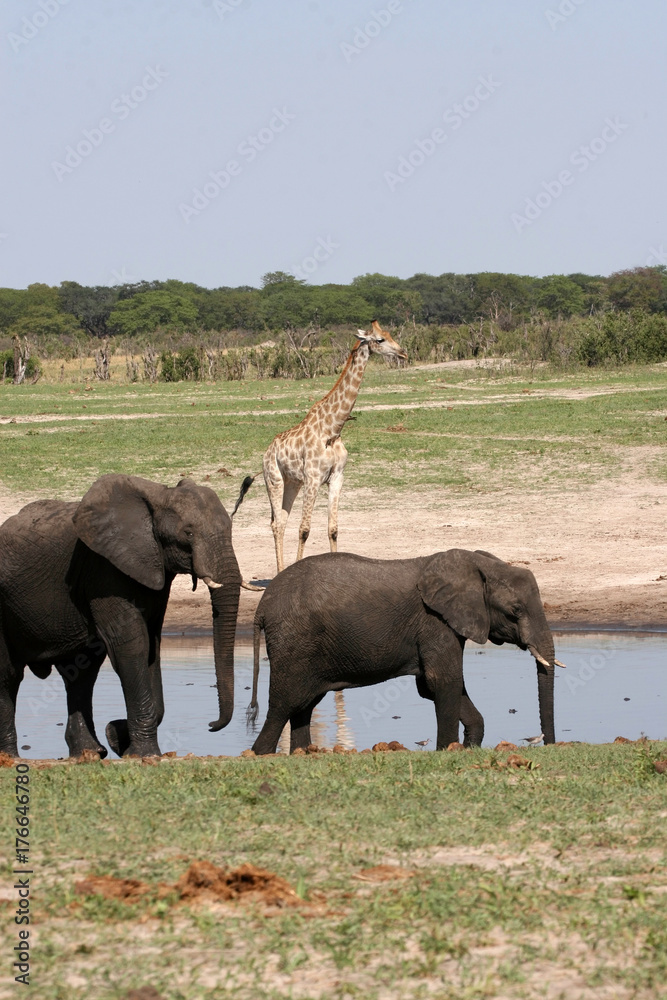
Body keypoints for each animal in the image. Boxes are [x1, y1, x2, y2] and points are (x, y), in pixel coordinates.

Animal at [0, 474, 242, 758]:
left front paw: (116, 738)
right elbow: (131, 644)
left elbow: (151, 644)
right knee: (8, 675)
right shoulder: (104, 570)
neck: (159, 496)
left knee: (81, 674)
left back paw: (90, 752)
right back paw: (11, 757)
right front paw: (143, 753)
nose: (211, 724)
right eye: (188, 533)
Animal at [247, 548, 564, 753]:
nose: (550, 746)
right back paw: (261, 754)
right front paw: (446, 750)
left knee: (304, 706)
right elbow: (443, 682)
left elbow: (434, 686)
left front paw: (467, 746)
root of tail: (262, 606)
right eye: (516, 610)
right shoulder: (434, 621)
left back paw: (302, 755)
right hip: (294, 643)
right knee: (284, 706)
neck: (478, 565)